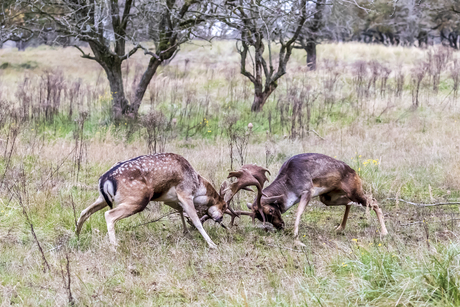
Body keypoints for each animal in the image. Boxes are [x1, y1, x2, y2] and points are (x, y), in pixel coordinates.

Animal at [76, 153, 262, 249]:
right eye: (223, 206)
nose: (220, 219)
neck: (197, 185)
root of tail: (105, 179)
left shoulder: (169, 199)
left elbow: (180, 212)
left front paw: (186, 232)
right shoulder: (185, 193)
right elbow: (195, 219)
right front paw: (212, 244)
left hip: (102, 198)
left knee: (84, 211)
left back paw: (77, 234)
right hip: (138, 200)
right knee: (109, 214)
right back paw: (115, 246)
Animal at [234, 155, 388, 247]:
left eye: (271, 209)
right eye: (261, 218)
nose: (280, 226)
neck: (289, 184)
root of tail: (354, 171)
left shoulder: (307, 191)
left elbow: (298, 213)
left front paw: (297, 240)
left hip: (354, 191)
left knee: (373, 201)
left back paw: (384, 232)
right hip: (328, 197)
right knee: (349, 202)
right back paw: (340, 228)